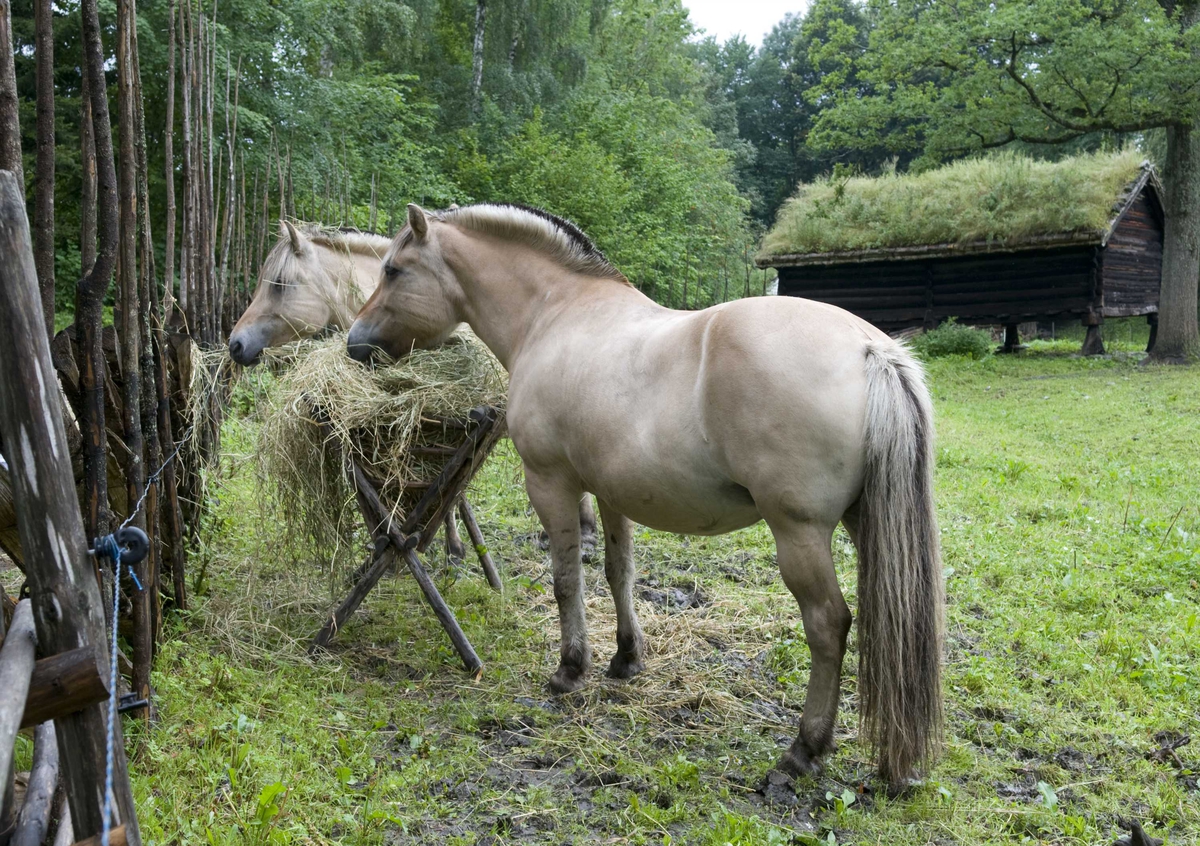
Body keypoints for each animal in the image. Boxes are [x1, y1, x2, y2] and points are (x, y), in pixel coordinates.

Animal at [348, 202, 945, 787]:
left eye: (393, 270)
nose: (355, 344)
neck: (555, 315)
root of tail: (870, 349)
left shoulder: (551, 484)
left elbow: (567, 579)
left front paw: (571, 668)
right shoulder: (612, 493)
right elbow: (619, 574)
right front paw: (626, 658)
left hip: (799, 533)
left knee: (828, 624)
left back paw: (803, 749)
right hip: (863, 523)